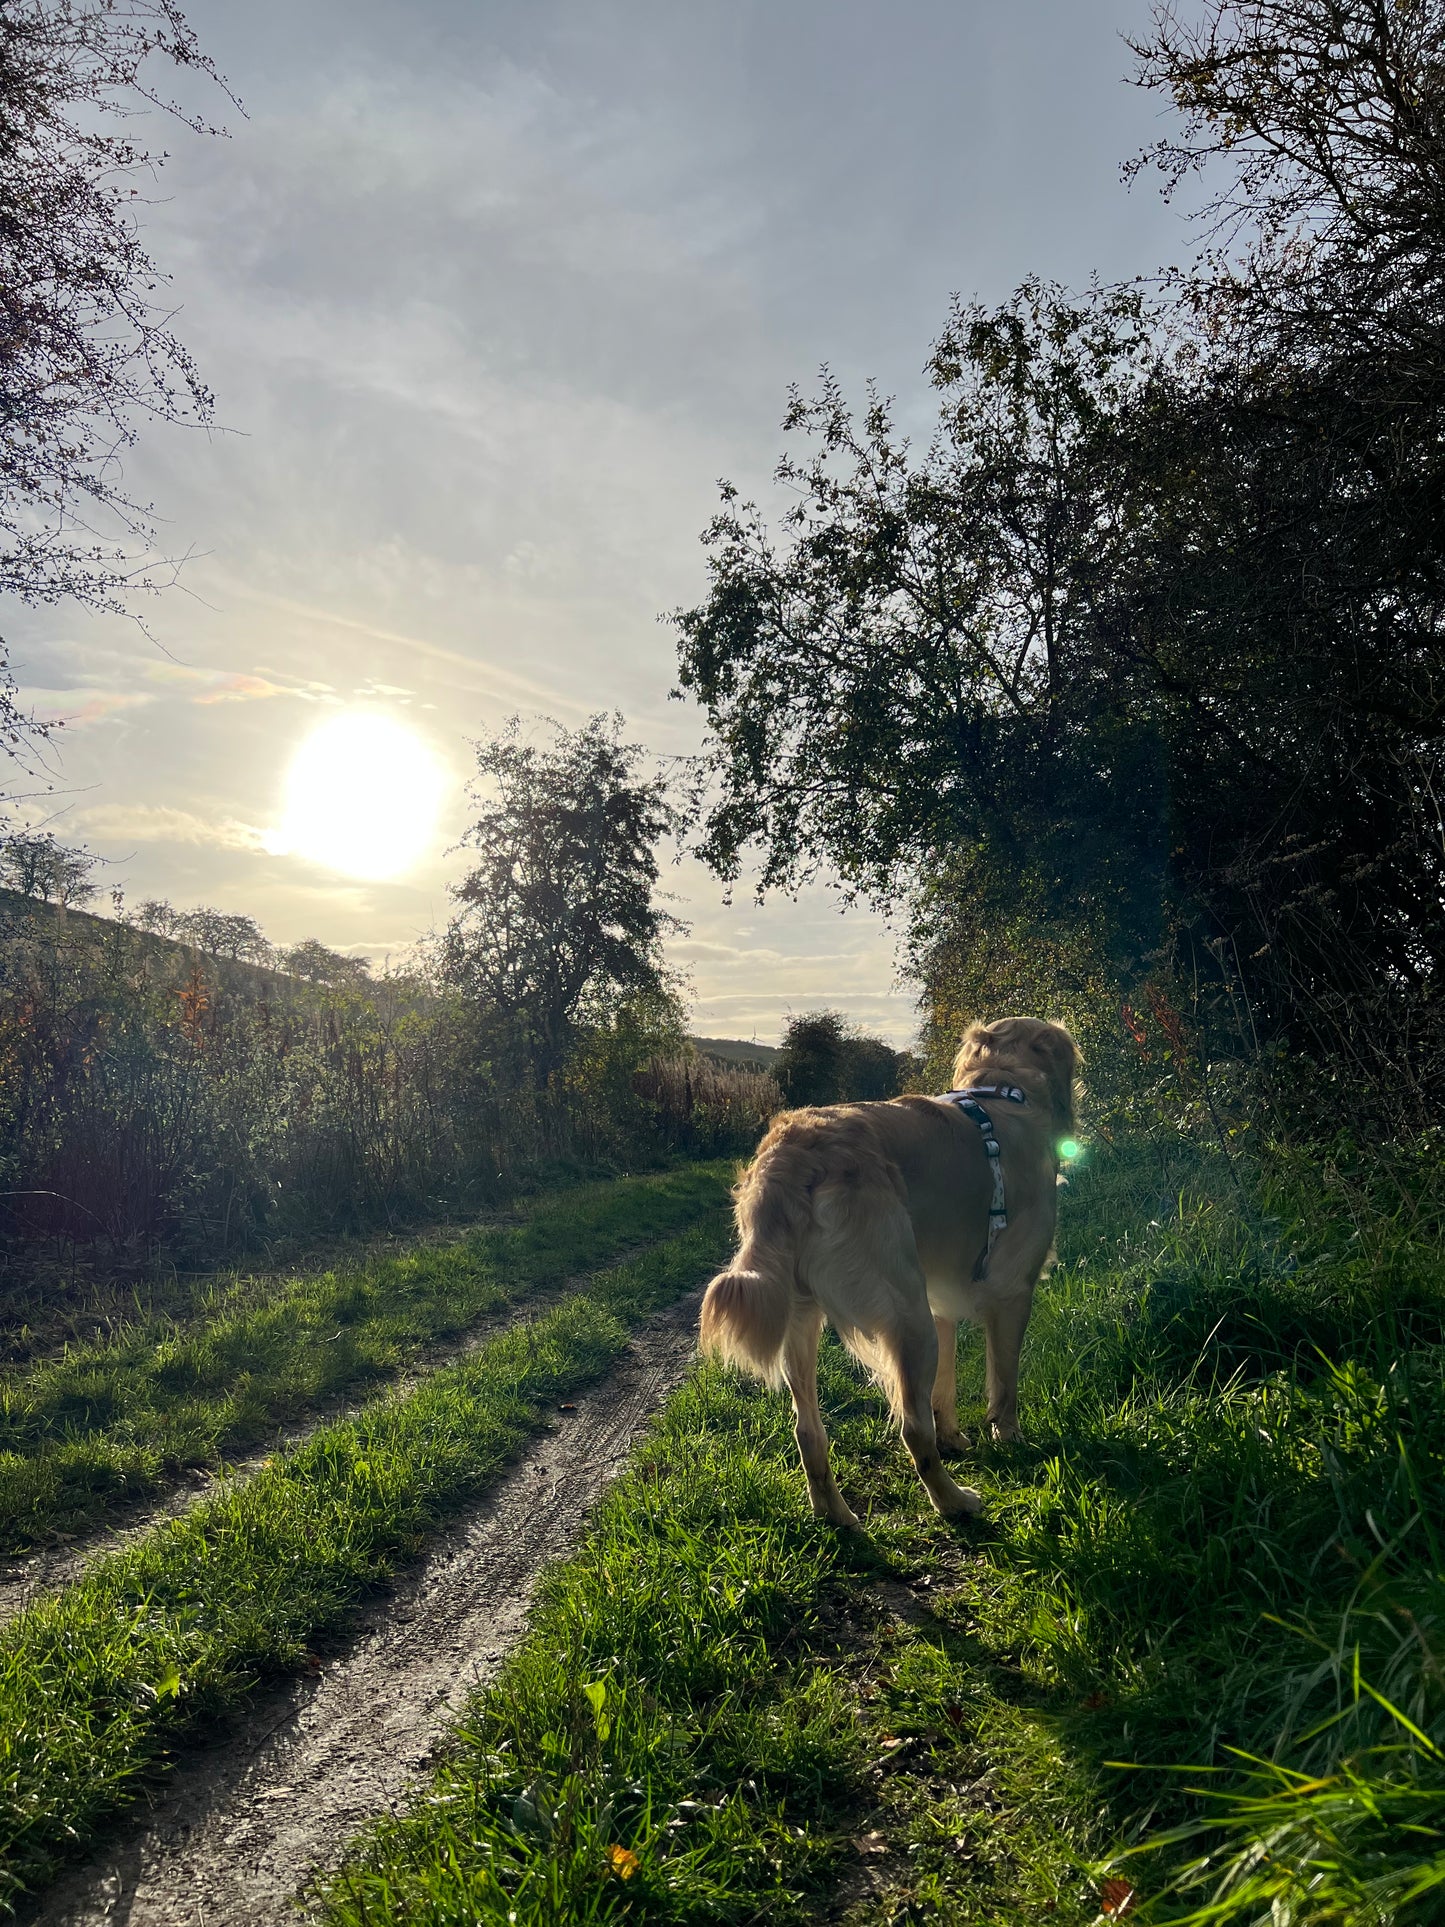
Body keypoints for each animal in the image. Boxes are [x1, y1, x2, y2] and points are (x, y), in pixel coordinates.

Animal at [697, 1017, 1078, 1526]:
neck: (1002, 1089)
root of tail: (793, 1151)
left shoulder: (940, 1302)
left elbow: (944, 1390)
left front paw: (954, 1437)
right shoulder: (1012, 1291)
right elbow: (1004, 1382)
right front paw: (1010, 1438)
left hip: (807, 1319)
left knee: (808, 1431)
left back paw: (837, 1515)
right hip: (906, 1316)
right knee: (913, 1430)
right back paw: (954, 1501)